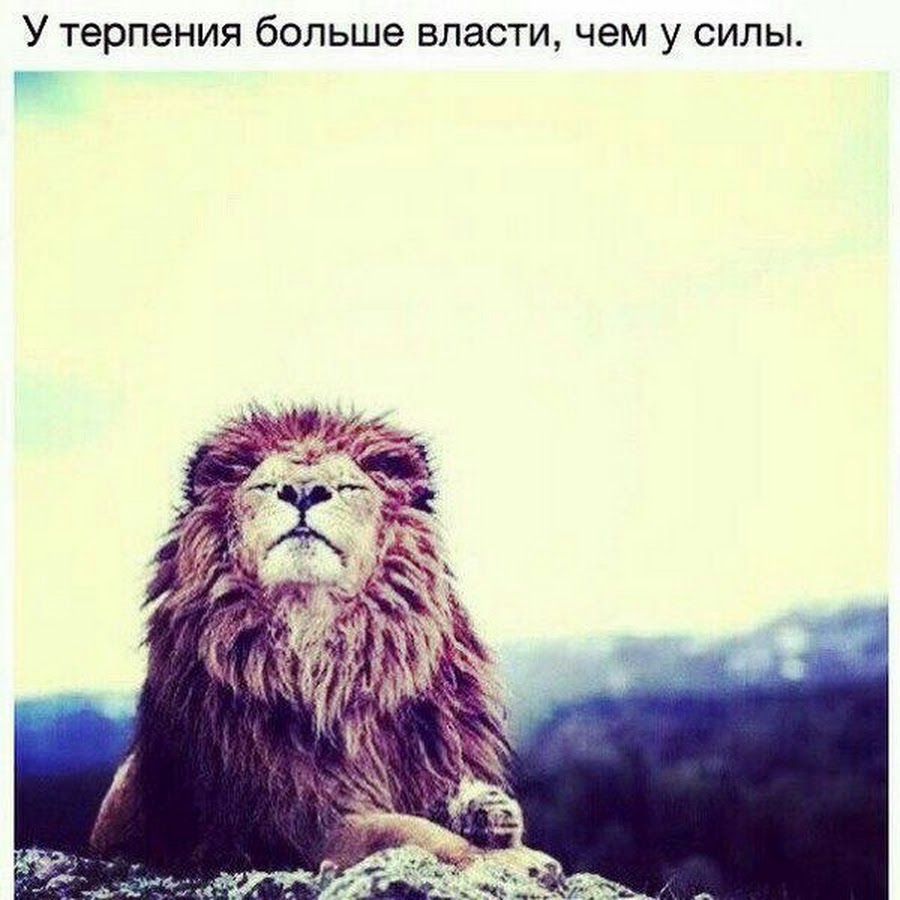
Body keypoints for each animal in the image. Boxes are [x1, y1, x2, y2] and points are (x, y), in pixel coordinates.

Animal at [90, 405, 560, 883]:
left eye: (347, 487)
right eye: (266, 486)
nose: (302, 491)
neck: (323, 653)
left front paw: (490, 814)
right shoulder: (291, 820)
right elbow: (408, 831)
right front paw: (518, 860)